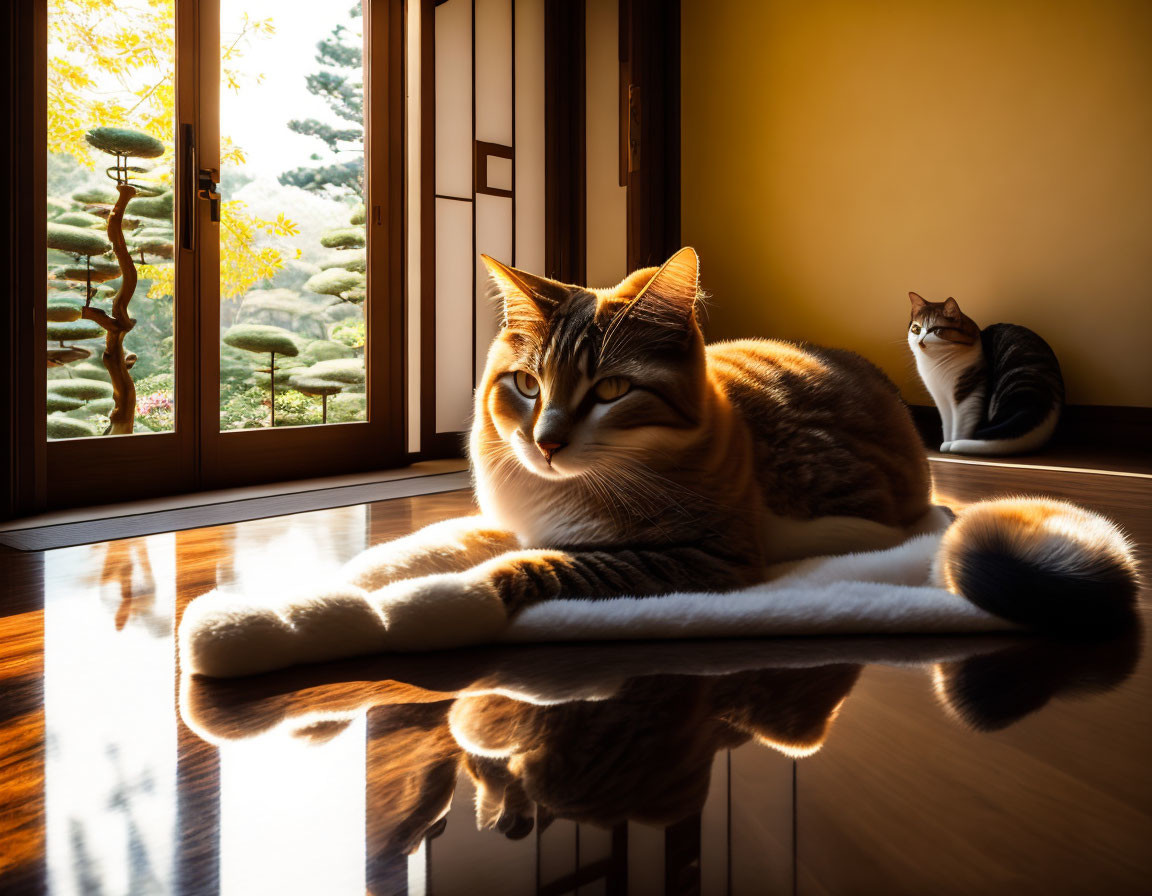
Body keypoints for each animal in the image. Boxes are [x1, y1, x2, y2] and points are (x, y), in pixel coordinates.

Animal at [903, 293, 1064, 453]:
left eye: (936, 330)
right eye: (916, 329)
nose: (920, 342)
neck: (934, 365)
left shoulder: (968, 392)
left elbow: (961, 425)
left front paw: (953, 443)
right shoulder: (941, 399)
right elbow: (948, 424)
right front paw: (946, 442)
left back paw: (960, 445)